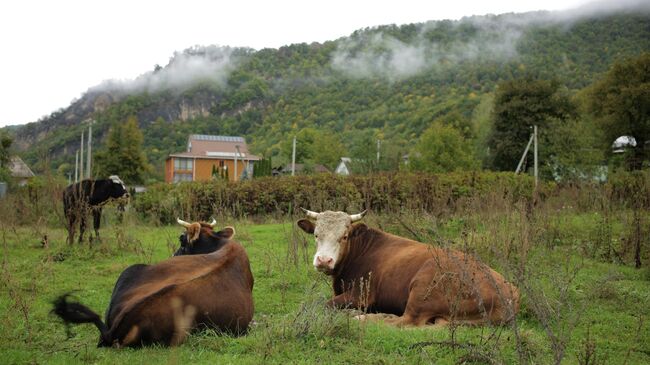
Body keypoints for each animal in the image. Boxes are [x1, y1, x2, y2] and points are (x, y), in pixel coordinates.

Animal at [296, 209, 520, 326]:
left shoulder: (361, 294)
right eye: (316, 234)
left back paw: (364, 317)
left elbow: (324, 304)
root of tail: (510, 291)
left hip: (422, 289)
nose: (324, 260)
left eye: (344, 236)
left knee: (405, 322)